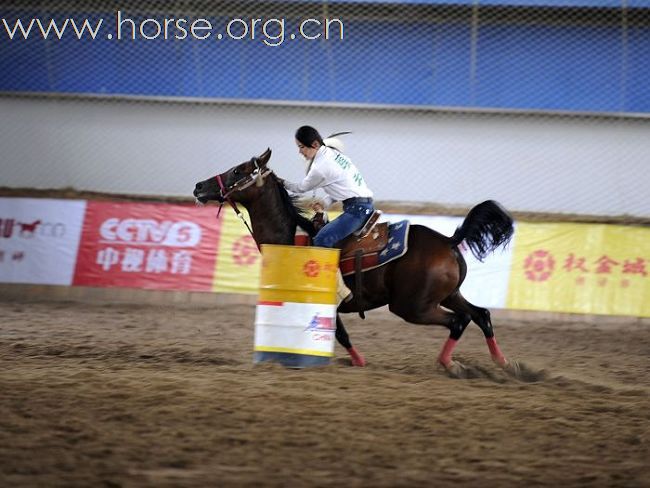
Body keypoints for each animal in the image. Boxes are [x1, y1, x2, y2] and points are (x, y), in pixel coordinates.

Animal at [190, 149, 512, 378]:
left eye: (238, 170)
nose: (198, 186)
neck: (289, 238)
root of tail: (448, 240)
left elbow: (339, 333)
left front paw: (358, 361)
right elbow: (340, 333)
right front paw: (356, 362)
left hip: (412, 306)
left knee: (459, 320)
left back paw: (453, 365)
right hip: (448, 294)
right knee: (480, 315)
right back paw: (505, 365)